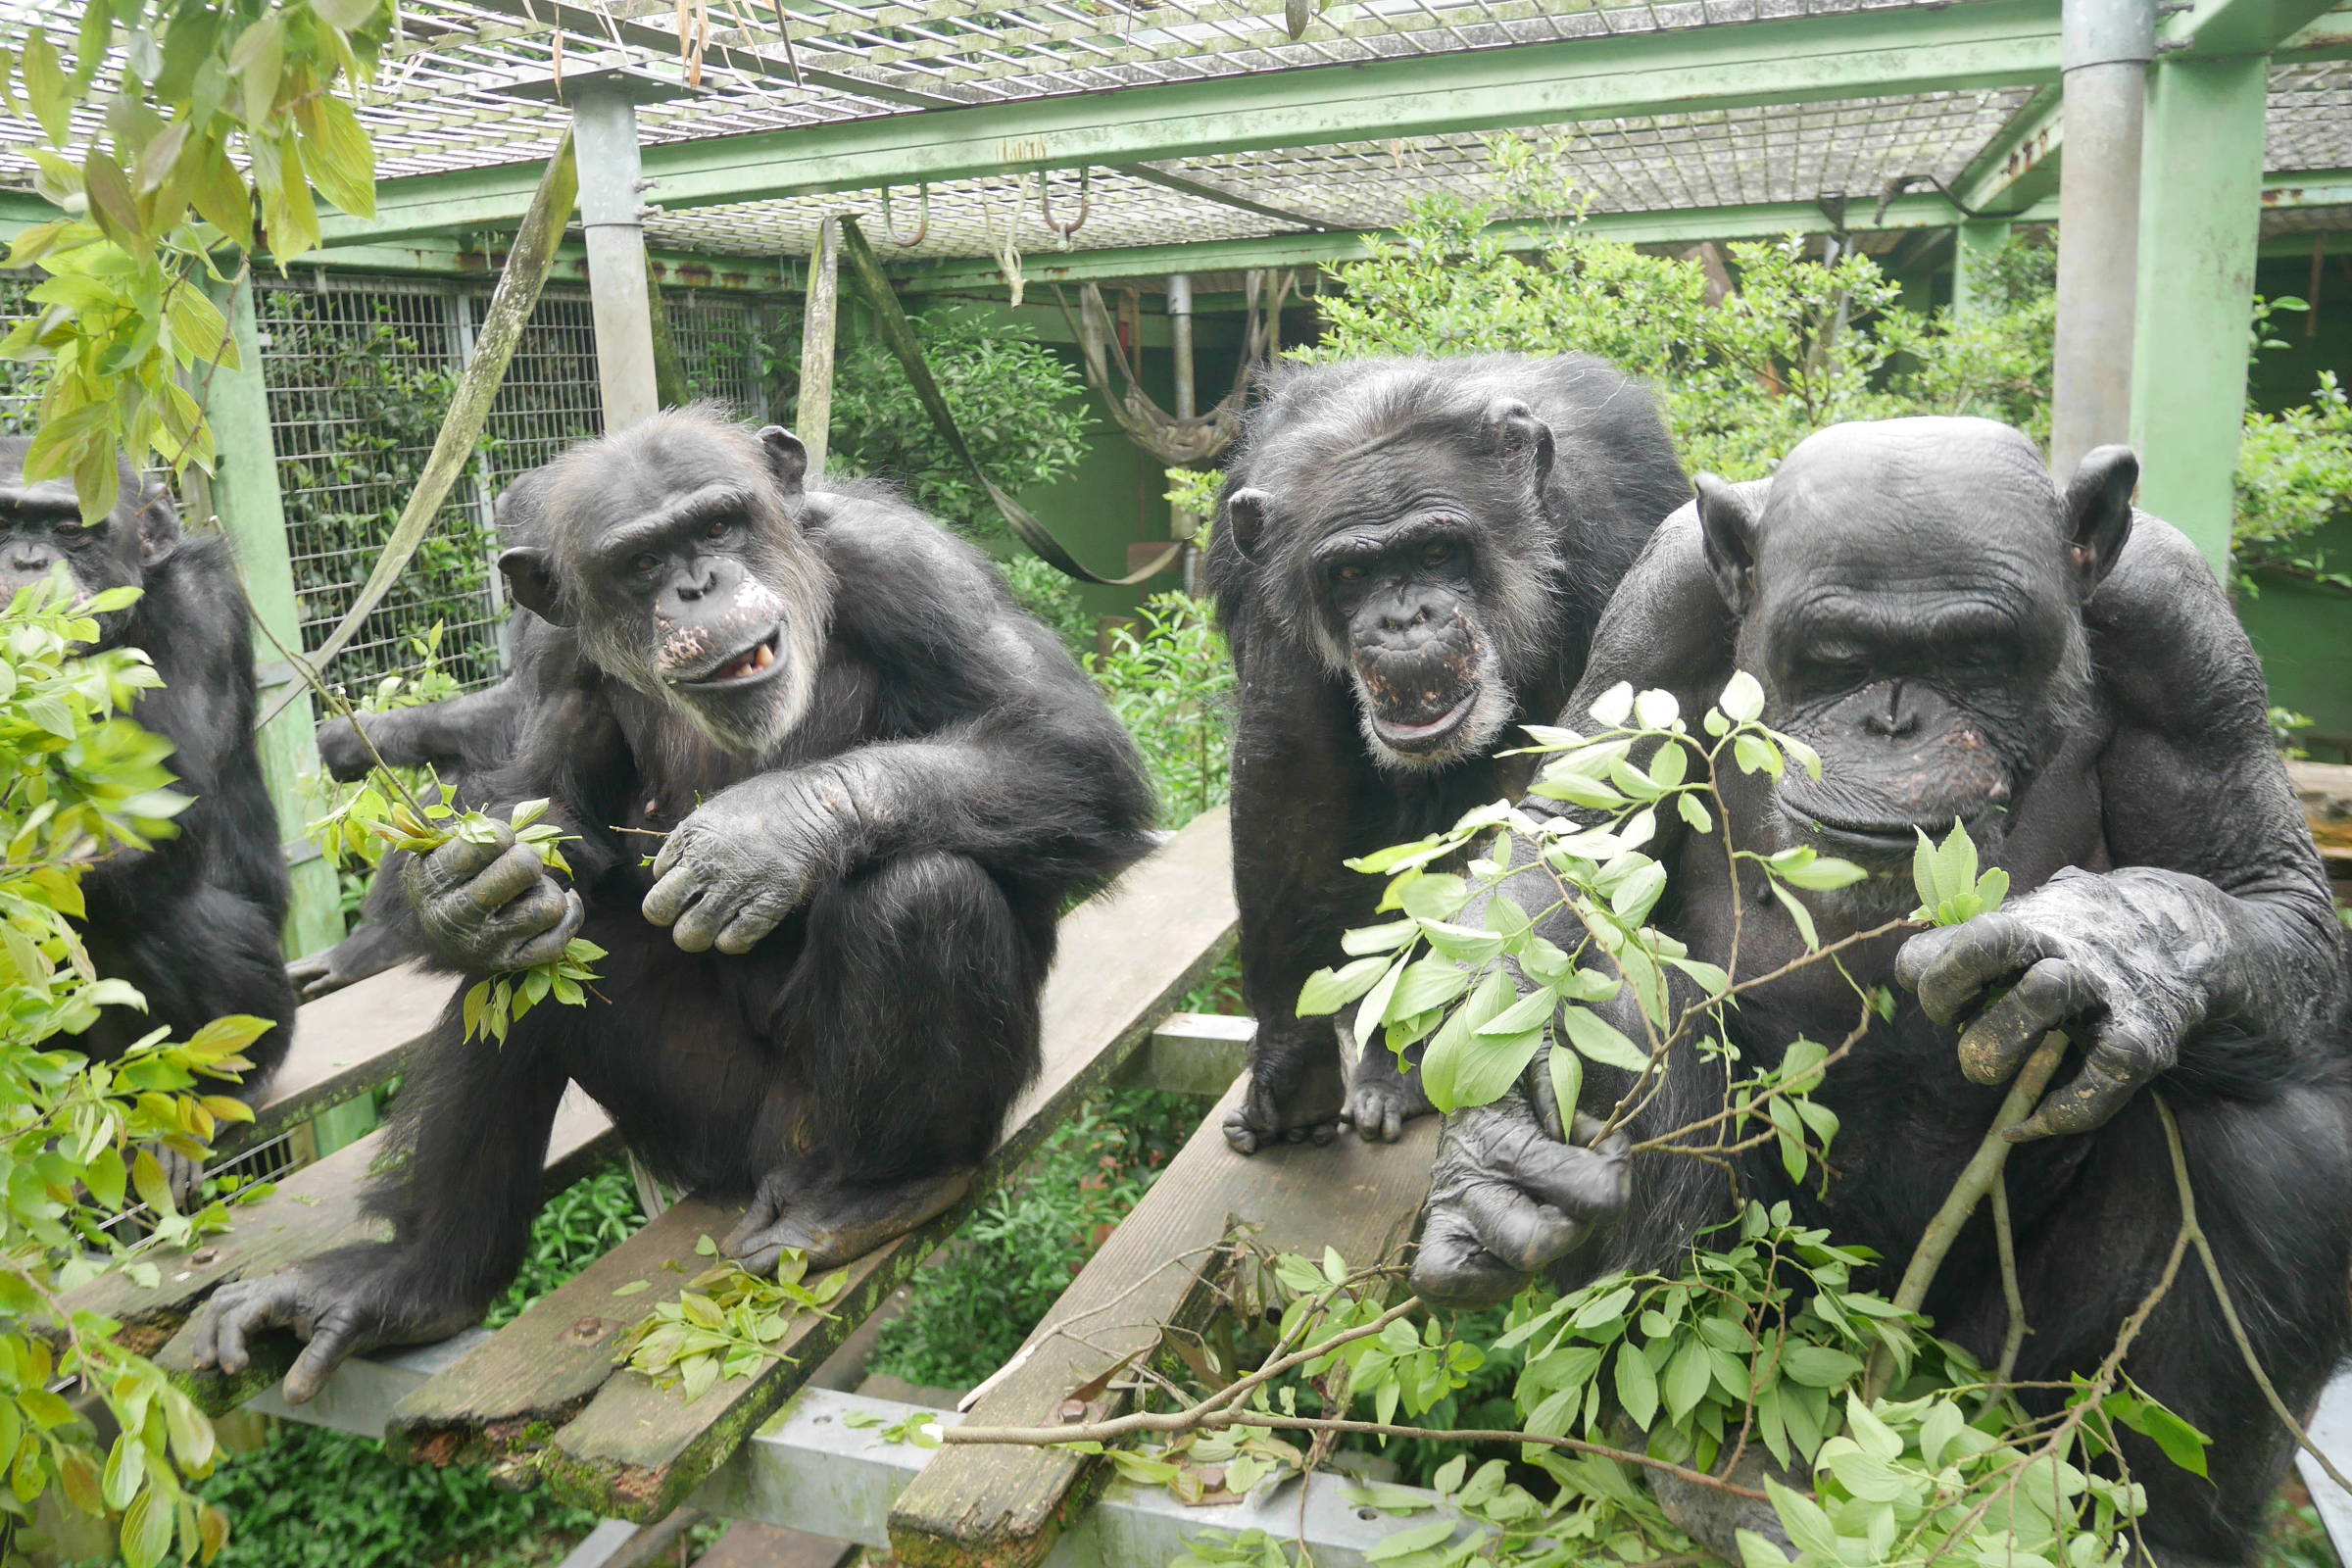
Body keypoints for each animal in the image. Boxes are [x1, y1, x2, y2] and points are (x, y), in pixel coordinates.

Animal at [0, 441, 298, 1109]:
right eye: (0, 522)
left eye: (70, 528)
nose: (26, 560)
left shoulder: (196, 609)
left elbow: (139, 813)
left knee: (164, 916)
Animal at [197, 411, 1152, 1400]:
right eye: (643, 562)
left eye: (719, 525)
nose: (699, 585)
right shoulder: (553, 650)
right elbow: (545, 805)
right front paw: (456, 891)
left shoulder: (909, 565)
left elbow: (1067, 742)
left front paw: (763, 832)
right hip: (705, 1128)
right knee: (529, 973)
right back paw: (416, 1279)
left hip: (823, 1130)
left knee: (925, 892)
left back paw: (878, 1192)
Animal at [1213, 362, 1693, 1161]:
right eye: (1350, 573)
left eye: (1437, 553)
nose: (1404, 620)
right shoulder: (1270, 599)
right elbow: (1288, 776)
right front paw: (1292, 1067)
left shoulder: (1609, 537)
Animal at [1411, 420, 2352, 1568]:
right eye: (1840, 662)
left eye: (1976, 656)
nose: (1895, 721)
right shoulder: (1658, 605)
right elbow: (1574, 841)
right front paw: (1490, 1157)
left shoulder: (2183, 633)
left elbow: (2267, 884)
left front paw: (2113, 944)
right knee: (1625, 1015)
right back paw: (1698, 1472)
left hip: (1983, 1381)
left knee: (2274, 1141)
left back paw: (2146, 1527)